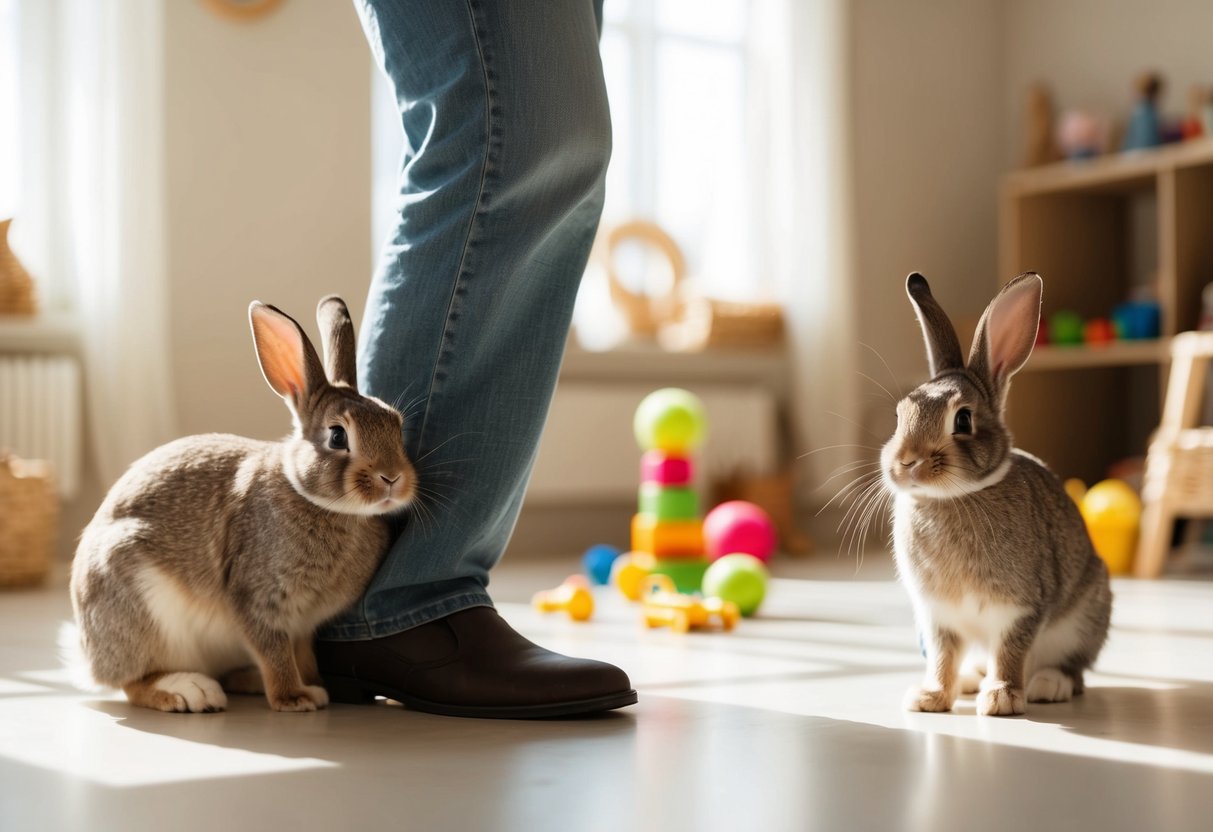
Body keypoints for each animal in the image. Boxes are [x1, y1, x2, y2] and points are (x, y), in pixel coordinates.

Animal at [67, 296, 416, 713]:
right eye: (337, 436)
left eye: (396, 424)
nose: (392, 478)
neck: (326, 506)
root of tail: (87, 656)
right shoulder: (257, 598)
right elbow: (273, 651)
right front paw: (294, 698)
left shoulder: (304, 624)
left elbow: (300, 653)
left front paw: (315, 686)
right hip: (136, 602)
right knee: (133, 681)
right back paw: (189, 692)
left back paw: (243, 681)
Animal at [881, 272, 1111, 717]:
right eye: (900, 414)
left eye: (963, 420)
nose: (907, 462)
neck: (954, 496)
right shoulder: (938, 616)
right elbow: (943, 657)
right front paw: (930, 698)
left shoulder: (1020, 608)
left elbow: (1010, 651)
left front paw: (1003, 699)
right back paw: (972, 680)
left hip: (1084, 617)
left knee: (1074, 669)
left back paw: (1047, 684)